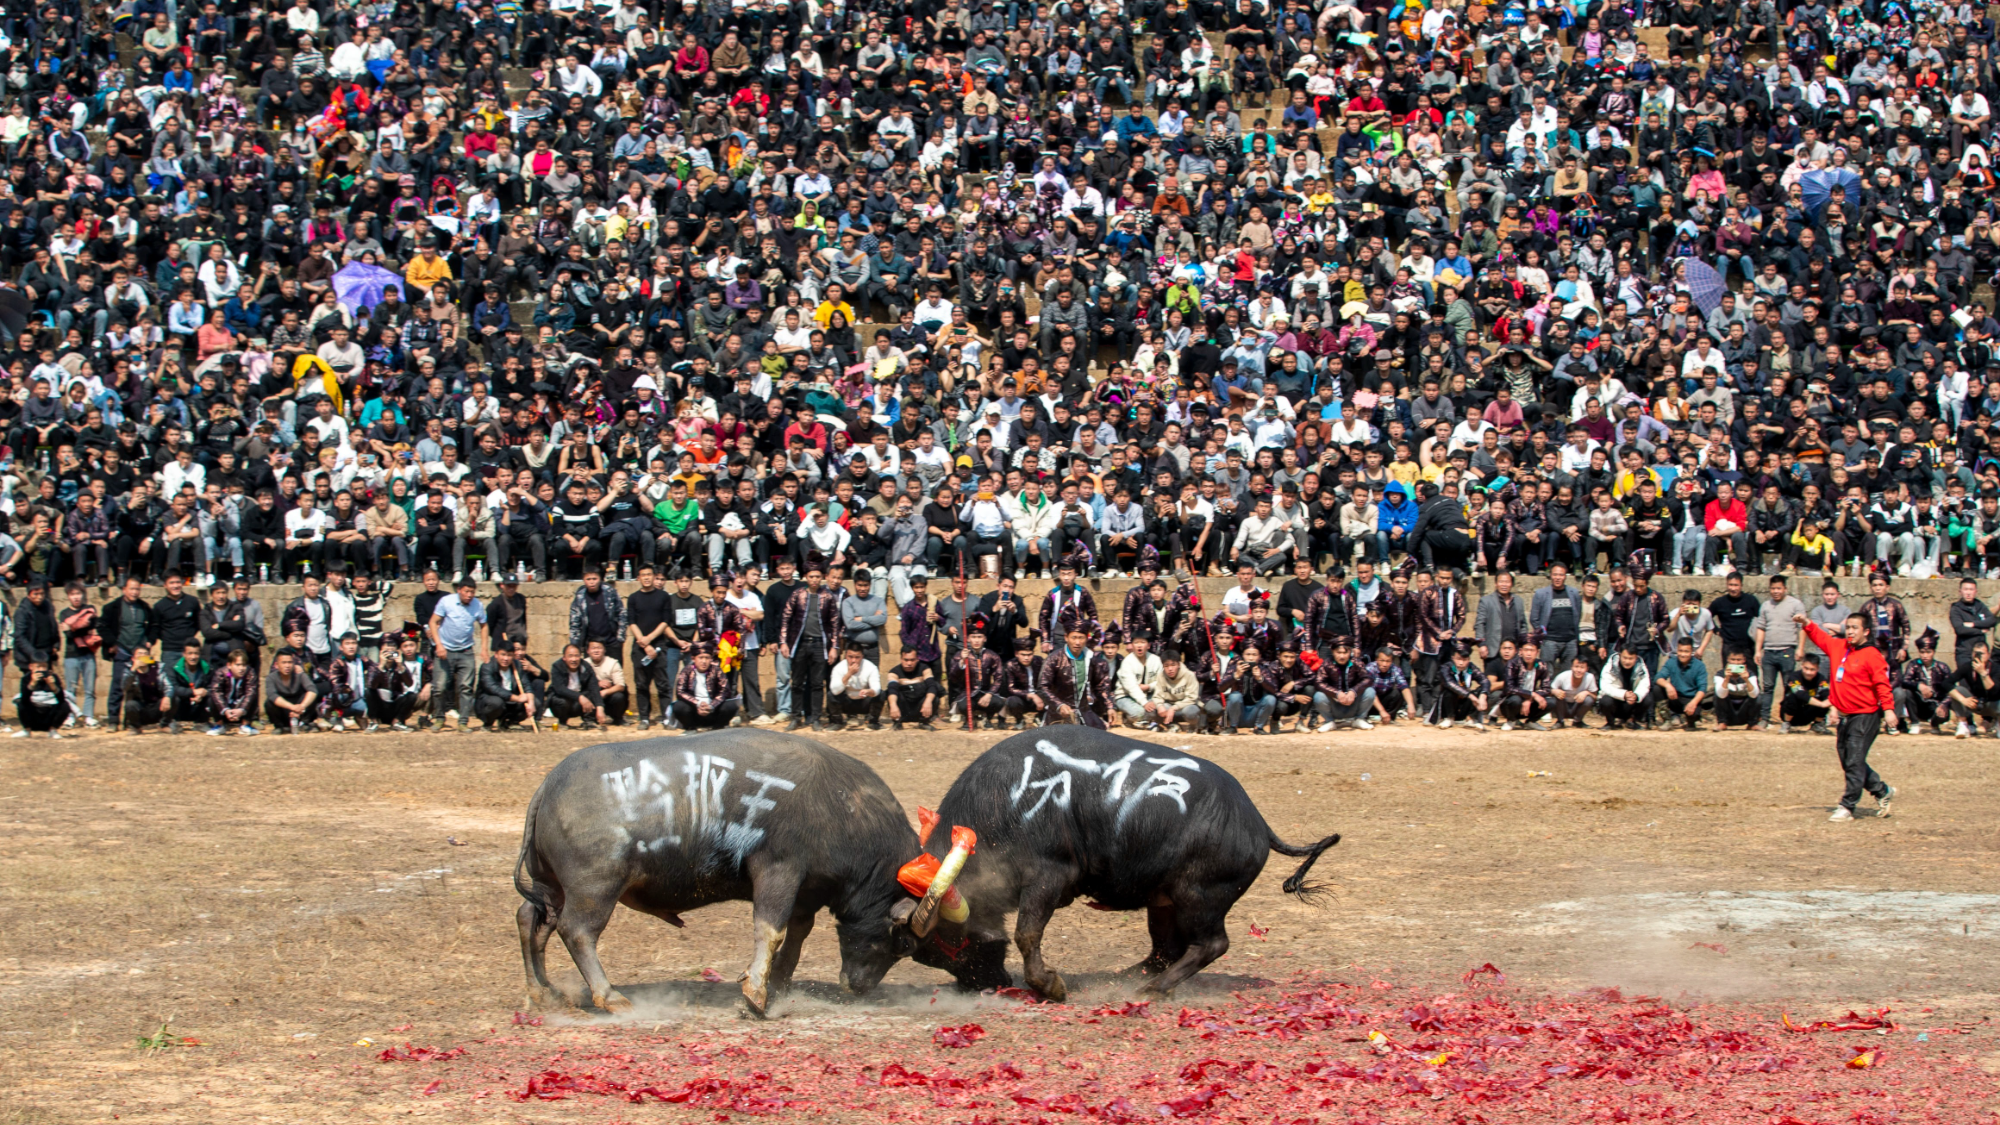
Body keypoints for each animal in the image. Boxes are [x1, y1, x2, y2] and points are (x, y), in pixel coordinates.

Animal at [512, 728, 924, 1016]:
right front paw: (755, 994)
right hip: (595, 888)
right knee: (576, 932)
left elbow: (795, 938)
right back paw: (610, 996)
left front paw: (778, 986)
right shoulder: (778, 871)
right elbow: (771, 931)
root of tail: (548, 787)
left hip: (550, 887)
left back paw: (542, 991)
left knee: (532, 920)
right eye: (903, 944)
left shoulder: (805, 893)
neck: (843, 806)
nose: (860, 988)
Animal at [916, 728, 1336, 996]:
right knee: (1166, 950)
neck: (1006, 802)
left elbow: (1027, 934)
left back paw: (1152, 988)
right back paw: (1128, 978)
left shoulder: (1047, 877)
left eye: (943, 942)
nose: (987, 984)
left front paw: (1050, 985)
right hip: (1164, 900)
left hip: (1199, 897)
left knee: (1211, 944)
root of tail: (1258, 824)